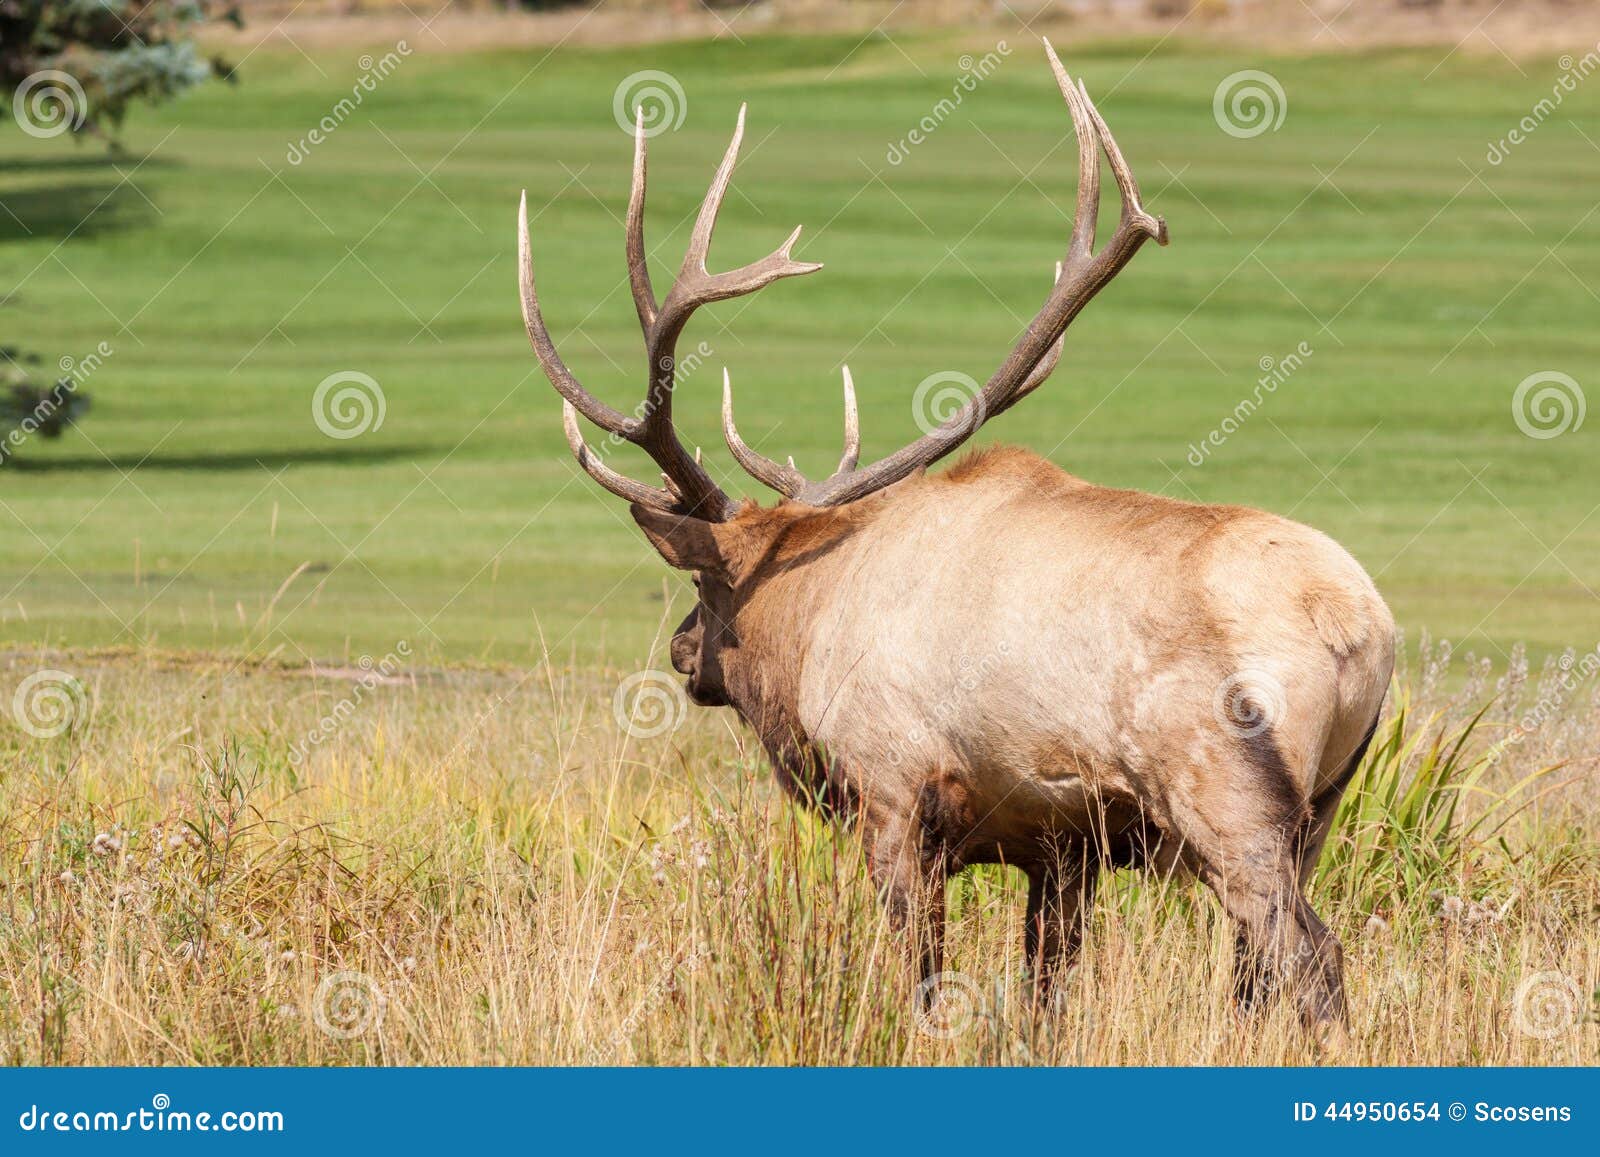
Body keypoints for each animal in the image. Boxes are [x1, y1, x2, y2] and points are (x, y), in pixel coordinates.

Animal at [517, 40, 1395, 1034]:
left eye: (706, 586)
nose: (679, 647)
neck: (806, 621)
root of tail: (1356, 626)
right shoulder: (1061, 841)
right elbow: (1047, 985)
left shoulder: (893, 787)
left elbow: (923, 971)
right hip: (1321, 807)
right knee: (1256, 973)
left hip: (1226, 797)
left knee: (1312, 957)